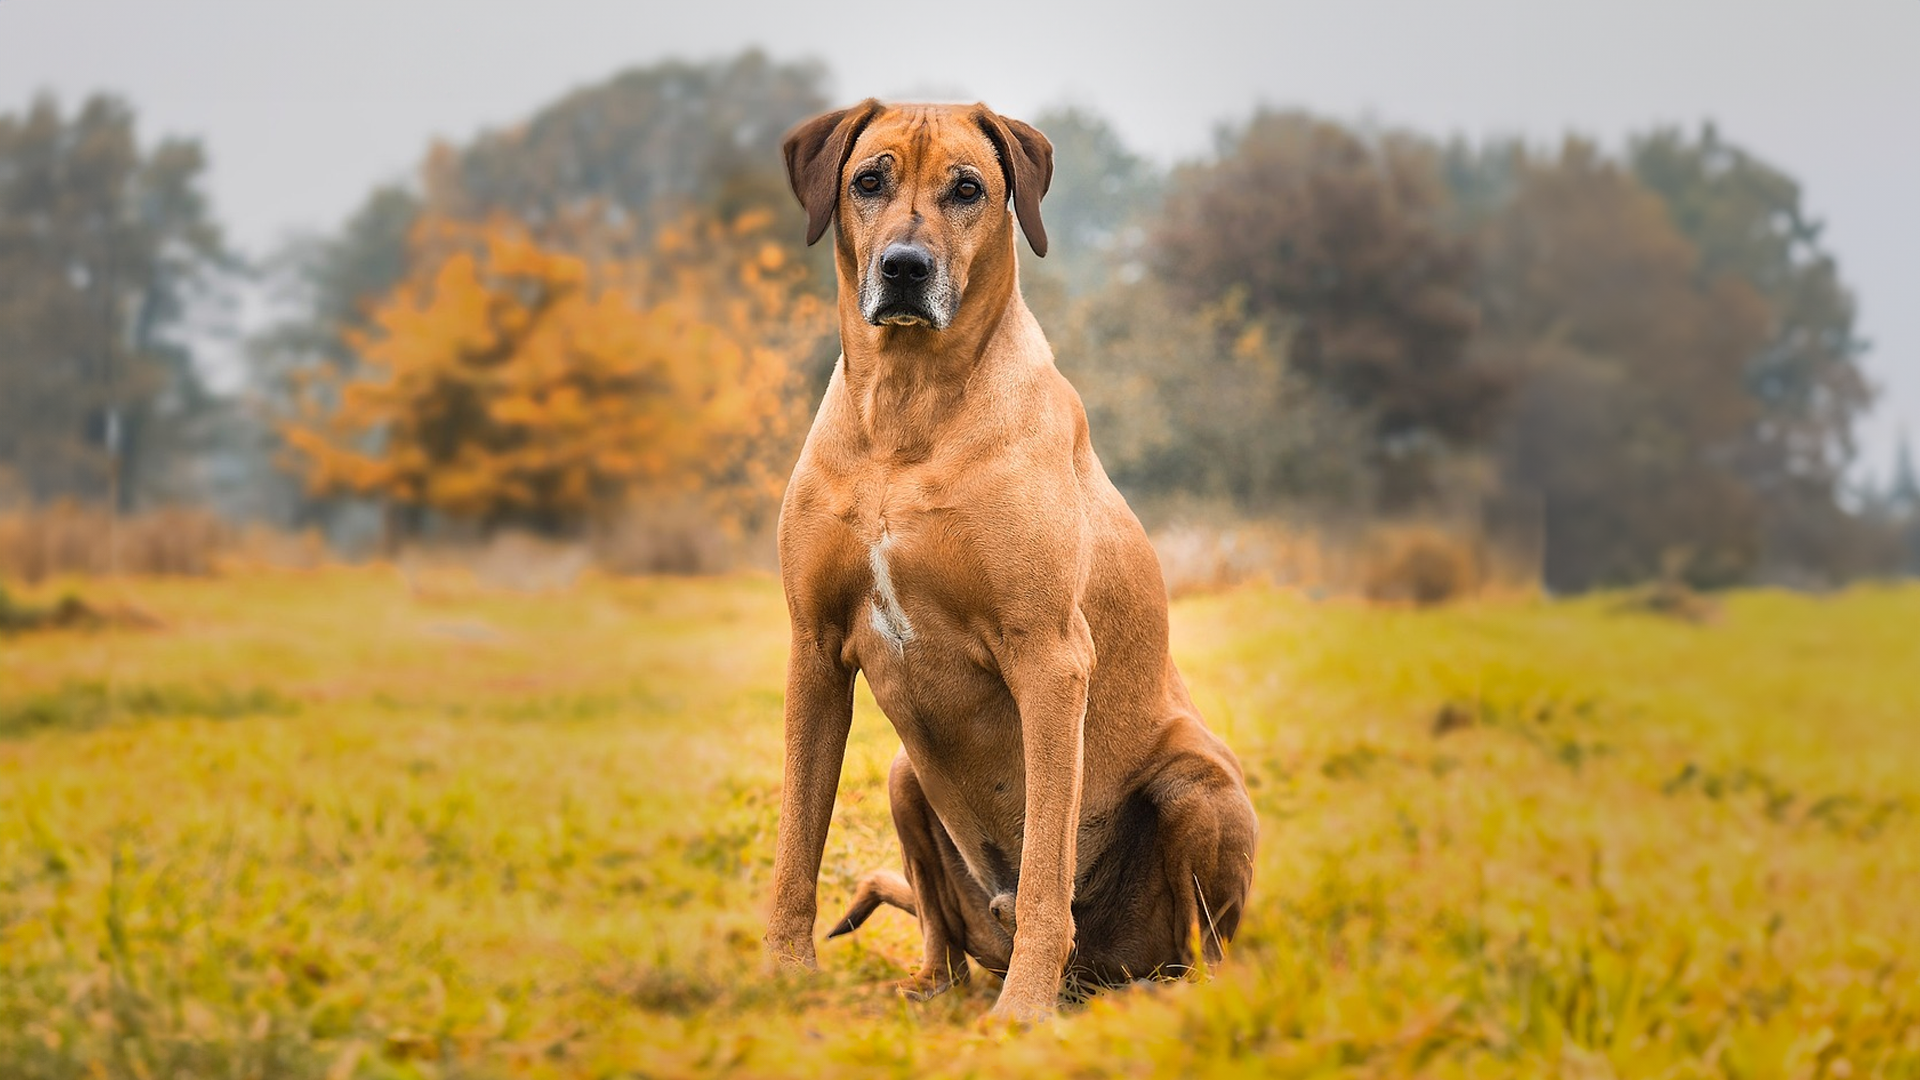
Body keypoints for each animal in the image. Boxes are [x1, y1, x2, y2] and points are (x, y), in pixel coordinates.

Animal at [764, 100, 1259, 1014]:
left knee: (1196, 946)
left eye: (967, 190)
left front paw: (1023, 1011)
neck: (907, 408)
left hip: (1198, 786)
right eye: (868, 180)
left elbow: (1043, 871)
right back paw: (930, 984)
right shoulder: (813, 649)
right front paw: (780, 977)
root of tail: (1102, 976)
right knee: (940, 927)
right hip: (903, 776)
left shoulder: (1051, 658)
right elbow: (796, 844)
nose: (906, 268)